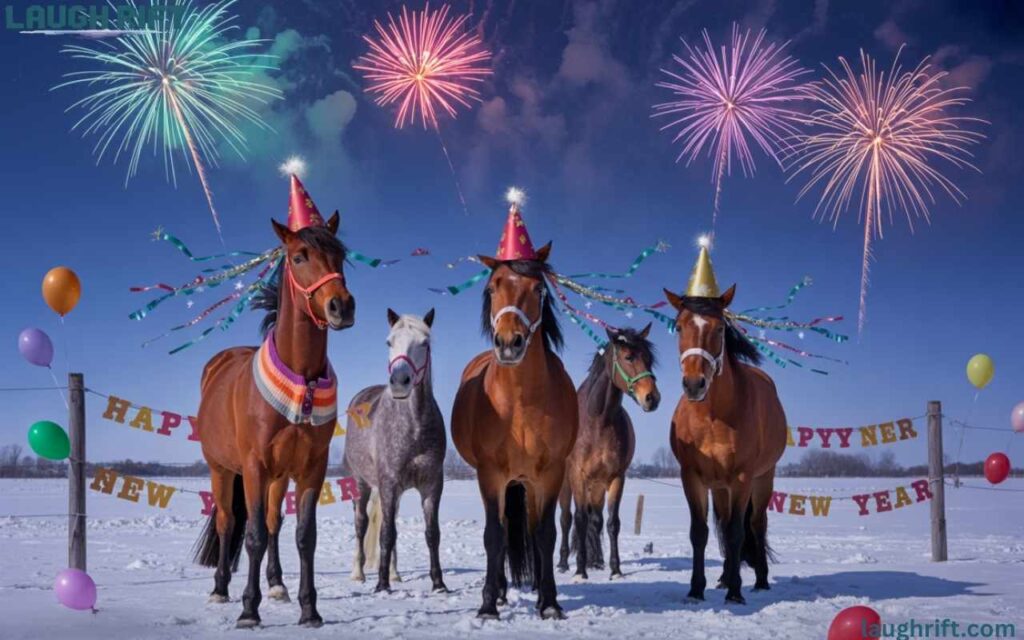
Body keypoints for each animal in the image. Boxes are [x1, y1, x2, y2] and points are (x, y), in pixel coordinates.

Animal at [192, 213, 355, 628]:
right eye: (299, 257)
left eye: (341, 256)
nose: (341, 306)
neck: (302, 381)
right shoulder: (254, 467)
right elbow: (251, 537)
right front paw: (249, 609)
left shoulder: (311, 468)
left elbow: (304, 535)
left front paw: (309, 609)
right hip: (222, 469)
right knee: (228, 521)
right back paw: (220, 589)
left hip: (279, 477)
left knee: (272, 521)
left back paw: (278, 584)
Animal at [343, 308, 448, 594]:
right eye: (389, 342)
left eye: (425, 343)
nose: (400, 382)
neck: (414, 427)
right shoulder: (388, 484)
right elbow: (385, 534)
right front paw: (381, 585)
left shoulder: (432, 485)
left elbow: (432, 534)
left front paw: (439, 583)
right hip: (361, 485)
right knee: (361, 526)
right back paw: (358, 573)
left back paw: (395, 573)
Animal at [451, 243, 579, 620]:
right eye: (493, 288)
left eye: (537, 289)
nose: (509, 343)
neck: (520, 403)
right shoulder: (490, 474)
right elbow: (494, 536)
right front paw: (488, 605)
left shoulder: (551, 474)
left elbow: (546, 534)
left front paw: (549, 603)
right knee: (506, 530)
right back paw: (502, 592)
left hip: (527, 483)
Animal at [557, 324, 661, 581]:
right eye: (628, 357)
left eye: (649, 358)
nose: (652, 398)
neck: (598, 421)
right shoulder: (578, 476)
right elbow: (579, 520)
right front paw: (580, 571)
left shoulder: (616, 478)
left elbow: (612, 523)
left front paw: (615, 569)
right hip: (567, 484)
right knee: (566, 519)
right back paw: (564, 563)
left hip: (597, 487)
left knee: (596, 520)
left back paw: (596, 561)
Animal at [663, 284, 787, 605]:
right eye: (679, 326)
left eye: (719, 328)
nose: (694, 384)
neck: (712, 416)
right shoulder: (691, 476)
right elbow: (700, 532)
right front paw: (696, 589)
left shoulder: (743, 477)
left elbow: (735, 533)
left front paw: (735, 592)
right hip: (719, 486)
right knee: (724, 521)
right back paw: (724, 577)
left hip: (763, 477)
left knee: (755, 524)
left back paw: (758, 581)